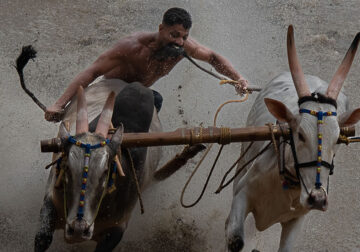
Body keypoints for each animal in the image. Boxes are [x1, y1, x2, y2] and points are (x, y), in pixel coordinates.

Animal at [225, 24, 360, 251]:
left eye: (337, 140)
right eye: (300, 134)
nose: (317, 199)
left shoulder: (297, 219)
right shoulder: (241, 196)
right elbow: (235, 240)